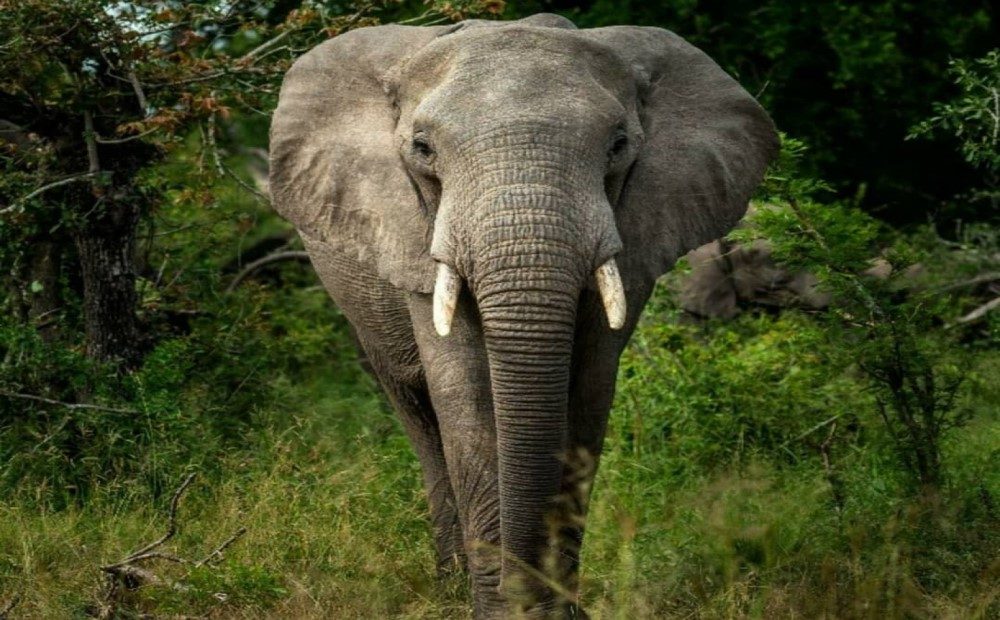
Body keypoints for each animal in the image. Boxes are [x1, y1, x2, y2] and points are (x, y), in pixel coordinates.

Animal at [269, 12, 777, 618]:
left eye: (618, 146)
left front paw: (557, 609)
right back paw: (448, 585)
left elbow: (588, 391)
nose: (529, 594)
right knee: (418, 415)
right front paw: (501, 609)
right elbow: (463, 394)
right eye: (422, 148)